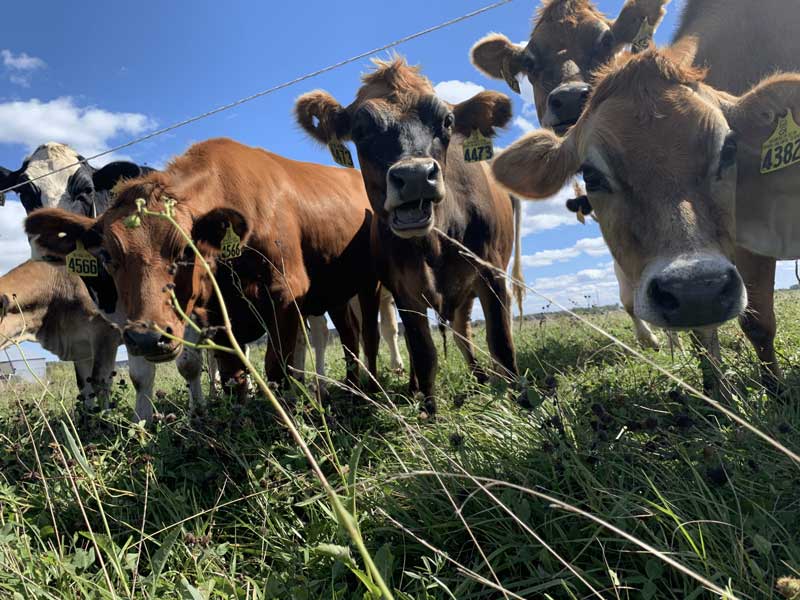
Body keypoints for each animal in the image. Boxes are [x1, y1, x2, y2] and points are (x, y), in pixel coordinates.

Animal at [24, 138, 384, 402]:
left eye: (186, 249)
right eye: (108, 256)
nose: (147, 337)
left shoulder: (285, 292)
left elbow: (276, 369)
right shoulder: (216, 316)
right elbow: (234, 377)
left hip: (370, 283)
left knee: (370, 333)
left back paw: (372, 388)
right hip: (336, 290)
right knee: (349, 334)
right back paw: (352, 386)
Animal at [294, 57, 522, 417]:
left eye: (447, 121)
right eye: (361, 129)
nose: (415, 176)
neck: (435, 243)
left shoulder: (491, 272)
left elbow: (501, 342)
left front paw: (520, 403)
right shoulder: (404, 289)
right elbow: (423, 351)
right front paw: (430, 411)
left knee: (463, 330)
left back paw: (484, 378)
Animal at [491, 0, 800, 391]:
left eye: (728, 149)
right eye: (591, 174)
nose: (695, 290)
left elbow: (757, 324)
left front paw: (775, 389)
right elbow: (708, 335)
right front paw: (717, 393)